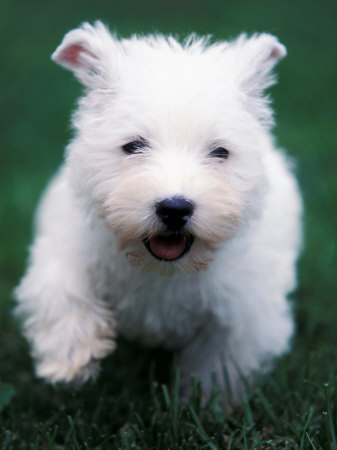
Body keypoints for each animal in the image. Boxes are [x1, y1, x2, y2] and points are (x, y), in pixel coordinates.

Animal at [14, 22, 300, 400]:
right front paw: (70, 362)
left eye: (220, 152)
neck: (161, 270)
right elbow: (63, 289)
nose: (174, 208)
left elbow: (219, 362)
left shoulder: (245, 312)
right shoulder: (68, 242)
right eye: (133, 146)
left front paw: (205, 403)